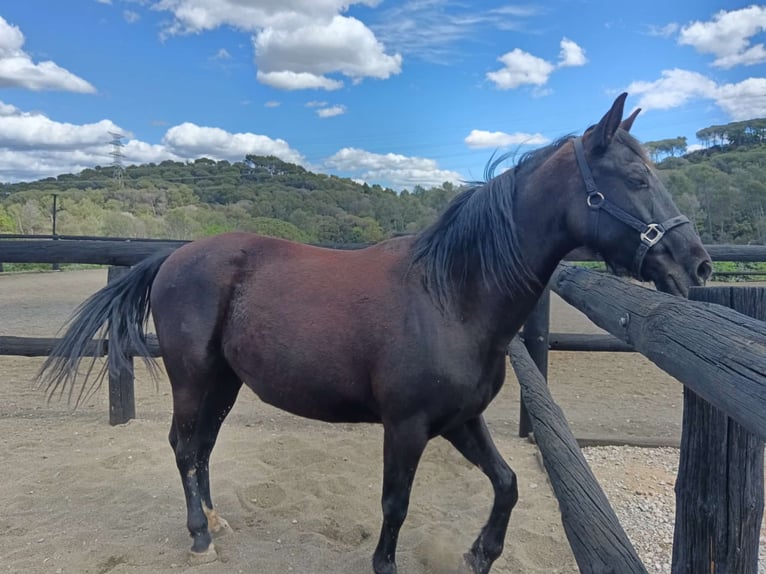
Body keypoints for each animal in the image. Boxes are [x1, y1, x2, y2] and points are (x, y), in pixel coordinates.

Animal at [40, 93, 712, 574]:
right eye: (636, 179)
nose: (698, 266)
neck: (451, 296)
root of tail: (173, 257)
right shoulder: (407, 426)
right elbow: (396, 504)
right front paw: (389, 564)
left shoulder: (460, 421)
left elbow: (508, 483)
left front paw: (480, 554)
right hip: (193, 377)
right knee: (183, 447)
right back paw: (200, 537)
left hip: (225, 383)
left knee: (202, 447)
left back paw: (215, 520)